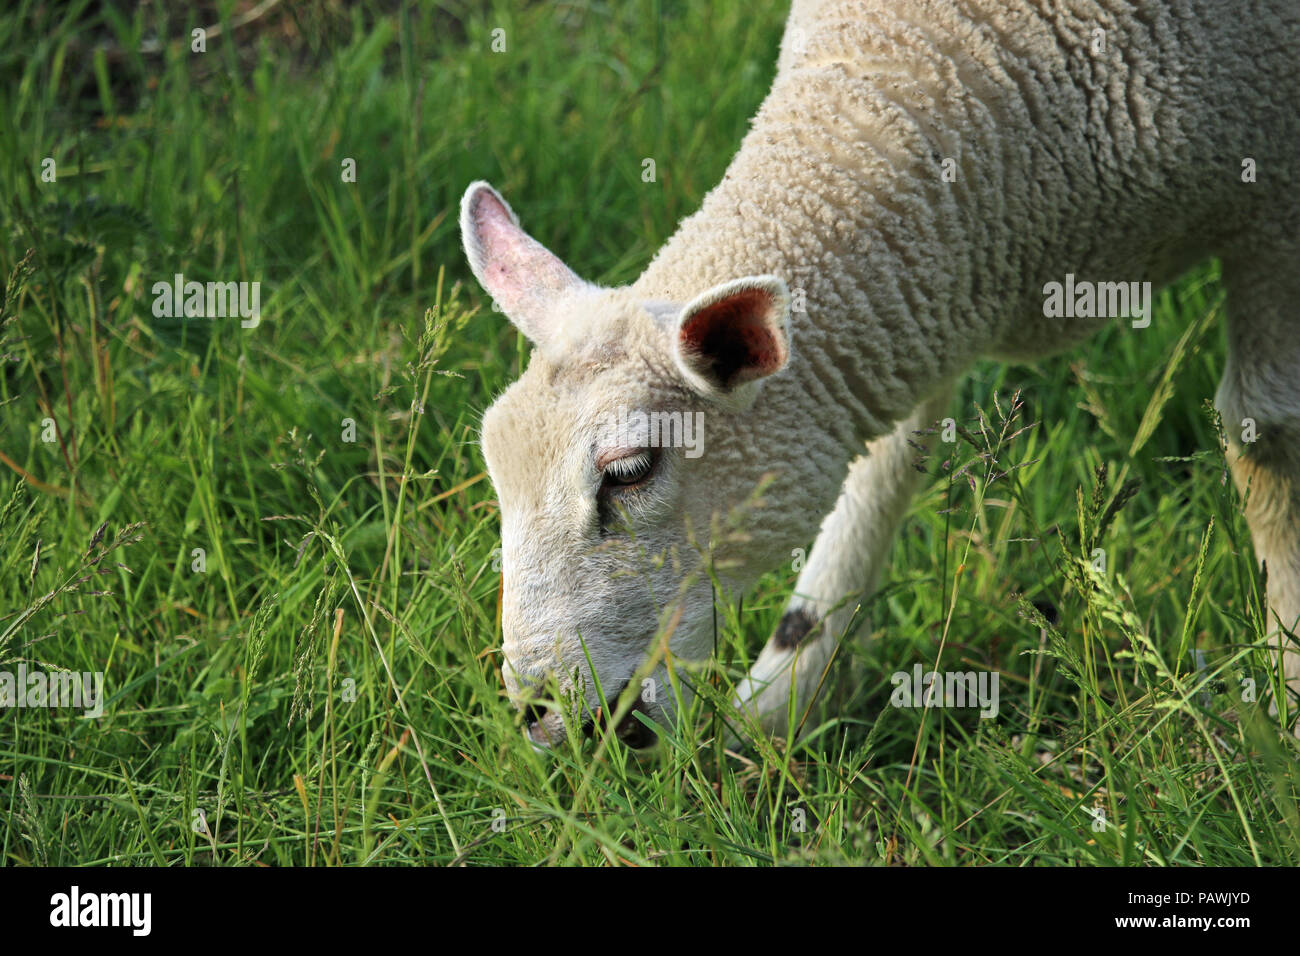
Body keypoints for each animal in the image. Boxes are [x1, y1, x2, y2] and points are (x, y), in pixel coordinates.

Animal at [462, 0, 1300, 747]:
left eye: (630, 471)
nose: (541, 715)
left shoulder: (1276, 201)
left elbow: (1265, 430)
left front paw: (1287, 695)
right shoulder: (927, 284)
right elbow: (887, 464)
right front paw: (777, 706)